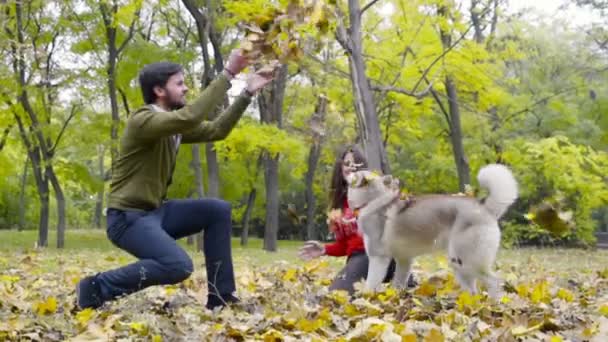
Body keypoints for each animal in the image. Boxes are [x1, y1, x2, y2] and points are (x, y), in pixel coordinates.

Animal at [346, 164, 516, 298]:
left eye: (356, 171)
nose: (347, 167)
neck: (373, 200)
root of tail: (484, 207)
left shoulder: (378, 258)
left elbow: (370, 284)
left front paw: (366, 300)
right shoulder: (404, 259)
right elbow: (398, 284)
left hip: (469, 261)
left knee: (494, 282)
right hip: (458, 263)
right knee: (473, 290)